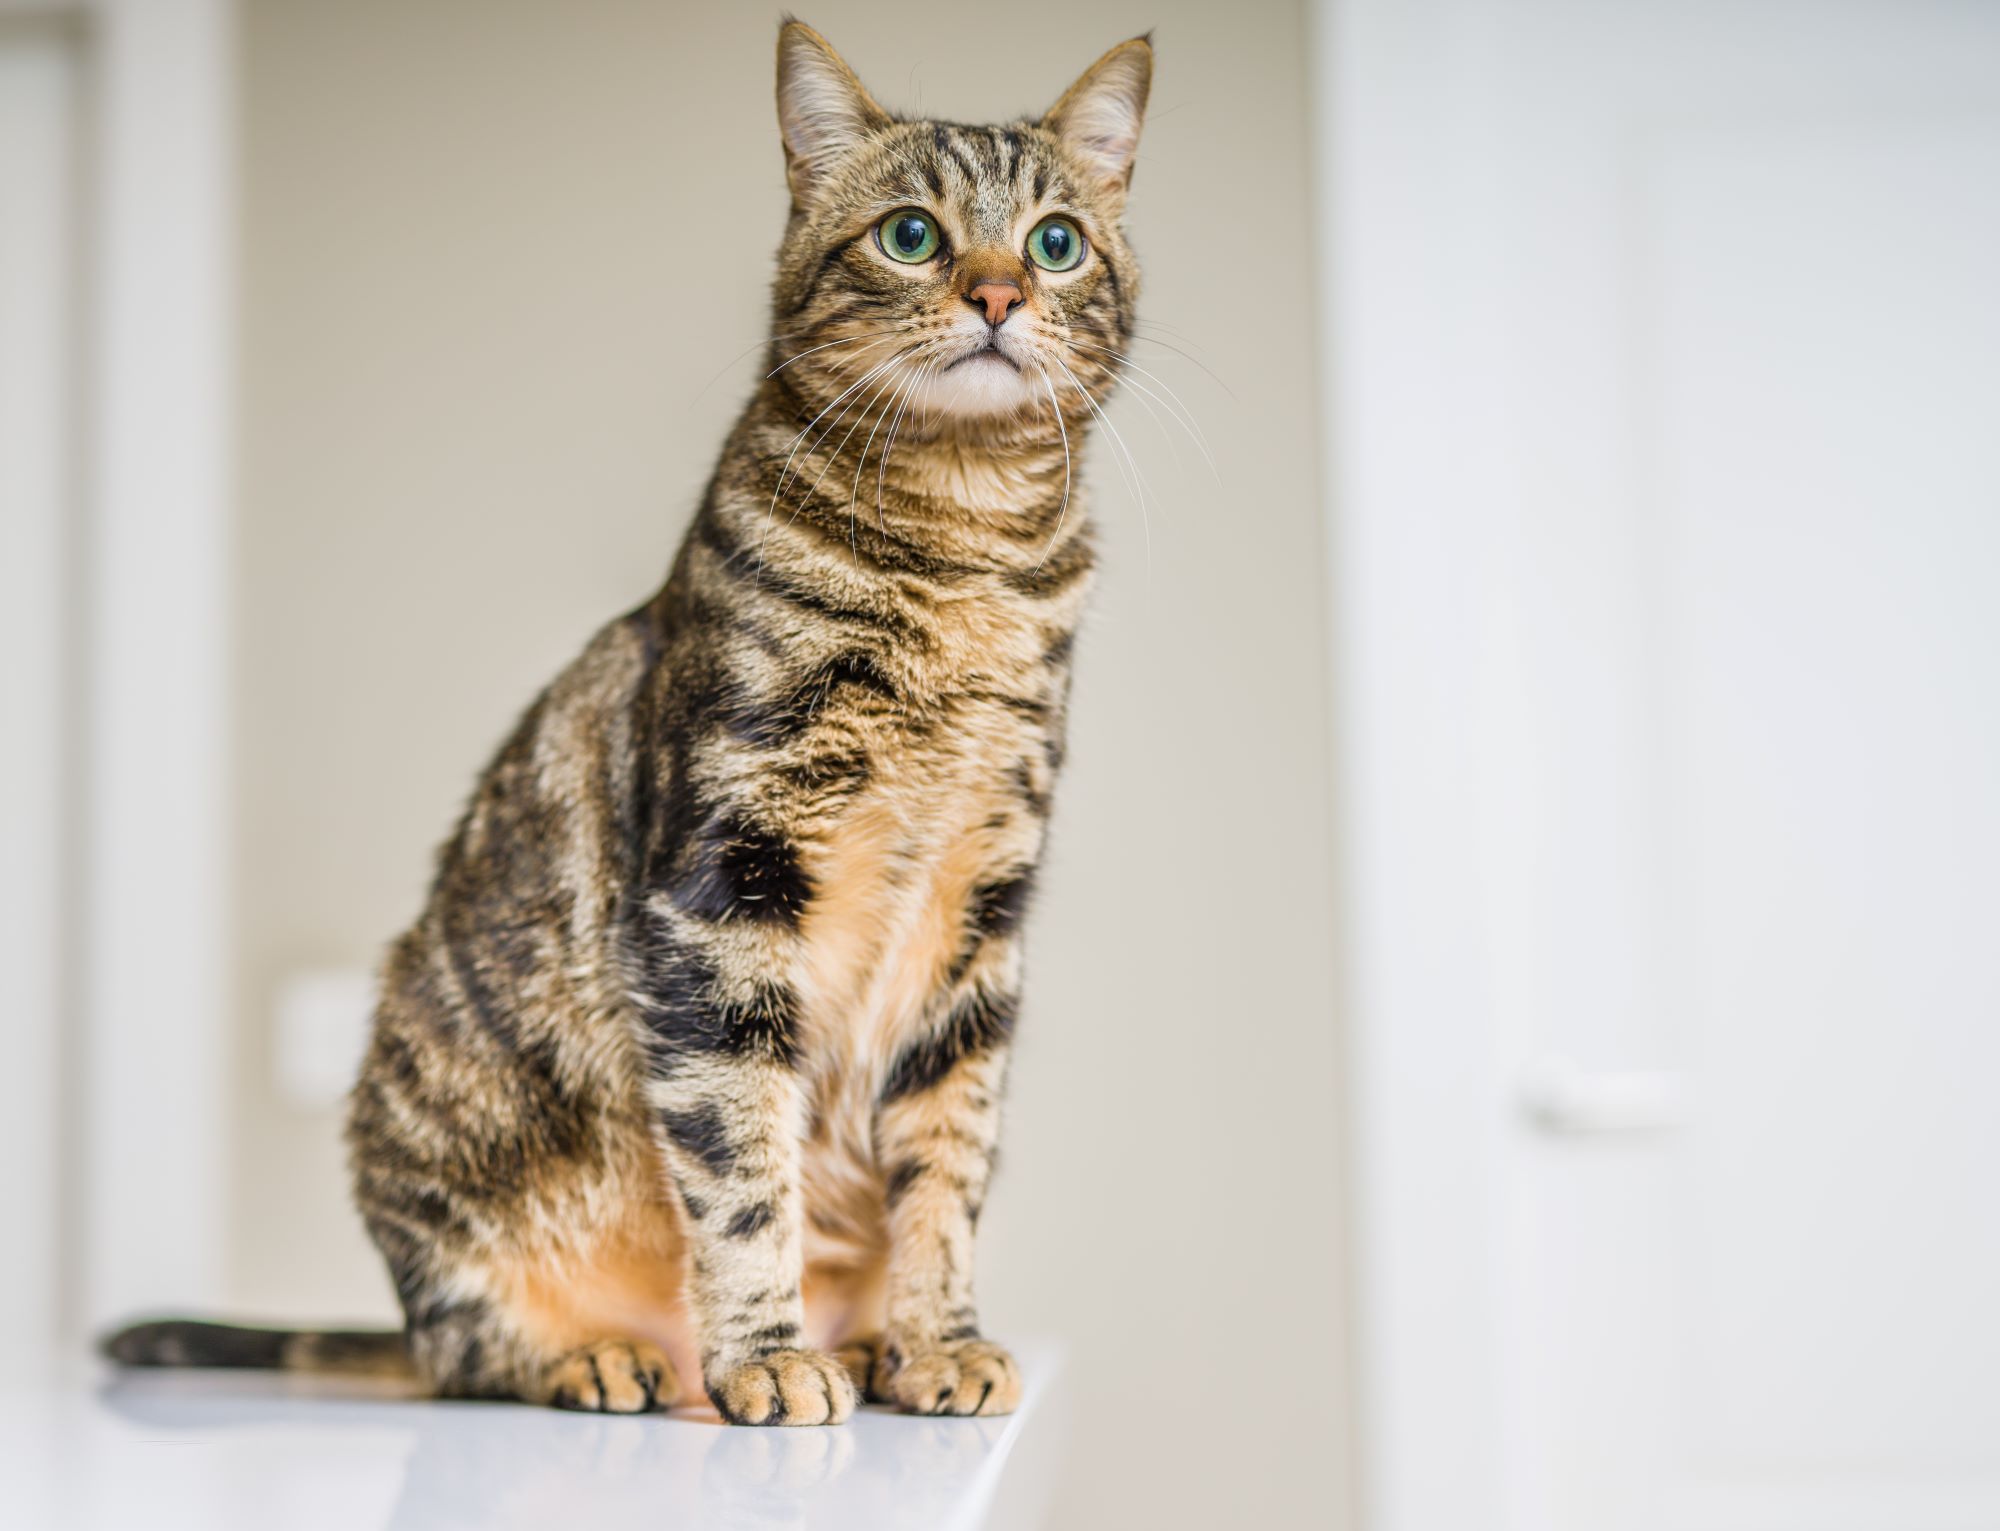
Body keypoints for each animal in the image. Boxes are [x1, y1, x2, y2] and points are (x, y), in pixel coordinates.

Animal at [109, 17, 1152, 1431]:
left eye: (1052, 241)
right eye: (911, 235)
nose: (996, 295)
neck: (961, 561)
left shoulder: (981, 915)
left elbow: (946, 1164)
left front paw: (937, 1338)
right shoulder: (720, 888)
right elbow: (740, 1160)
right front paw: (764, 1352)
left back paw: (866, 1346)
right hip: (430, 1139)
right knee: (468, 1347)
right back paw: (612, 1357)